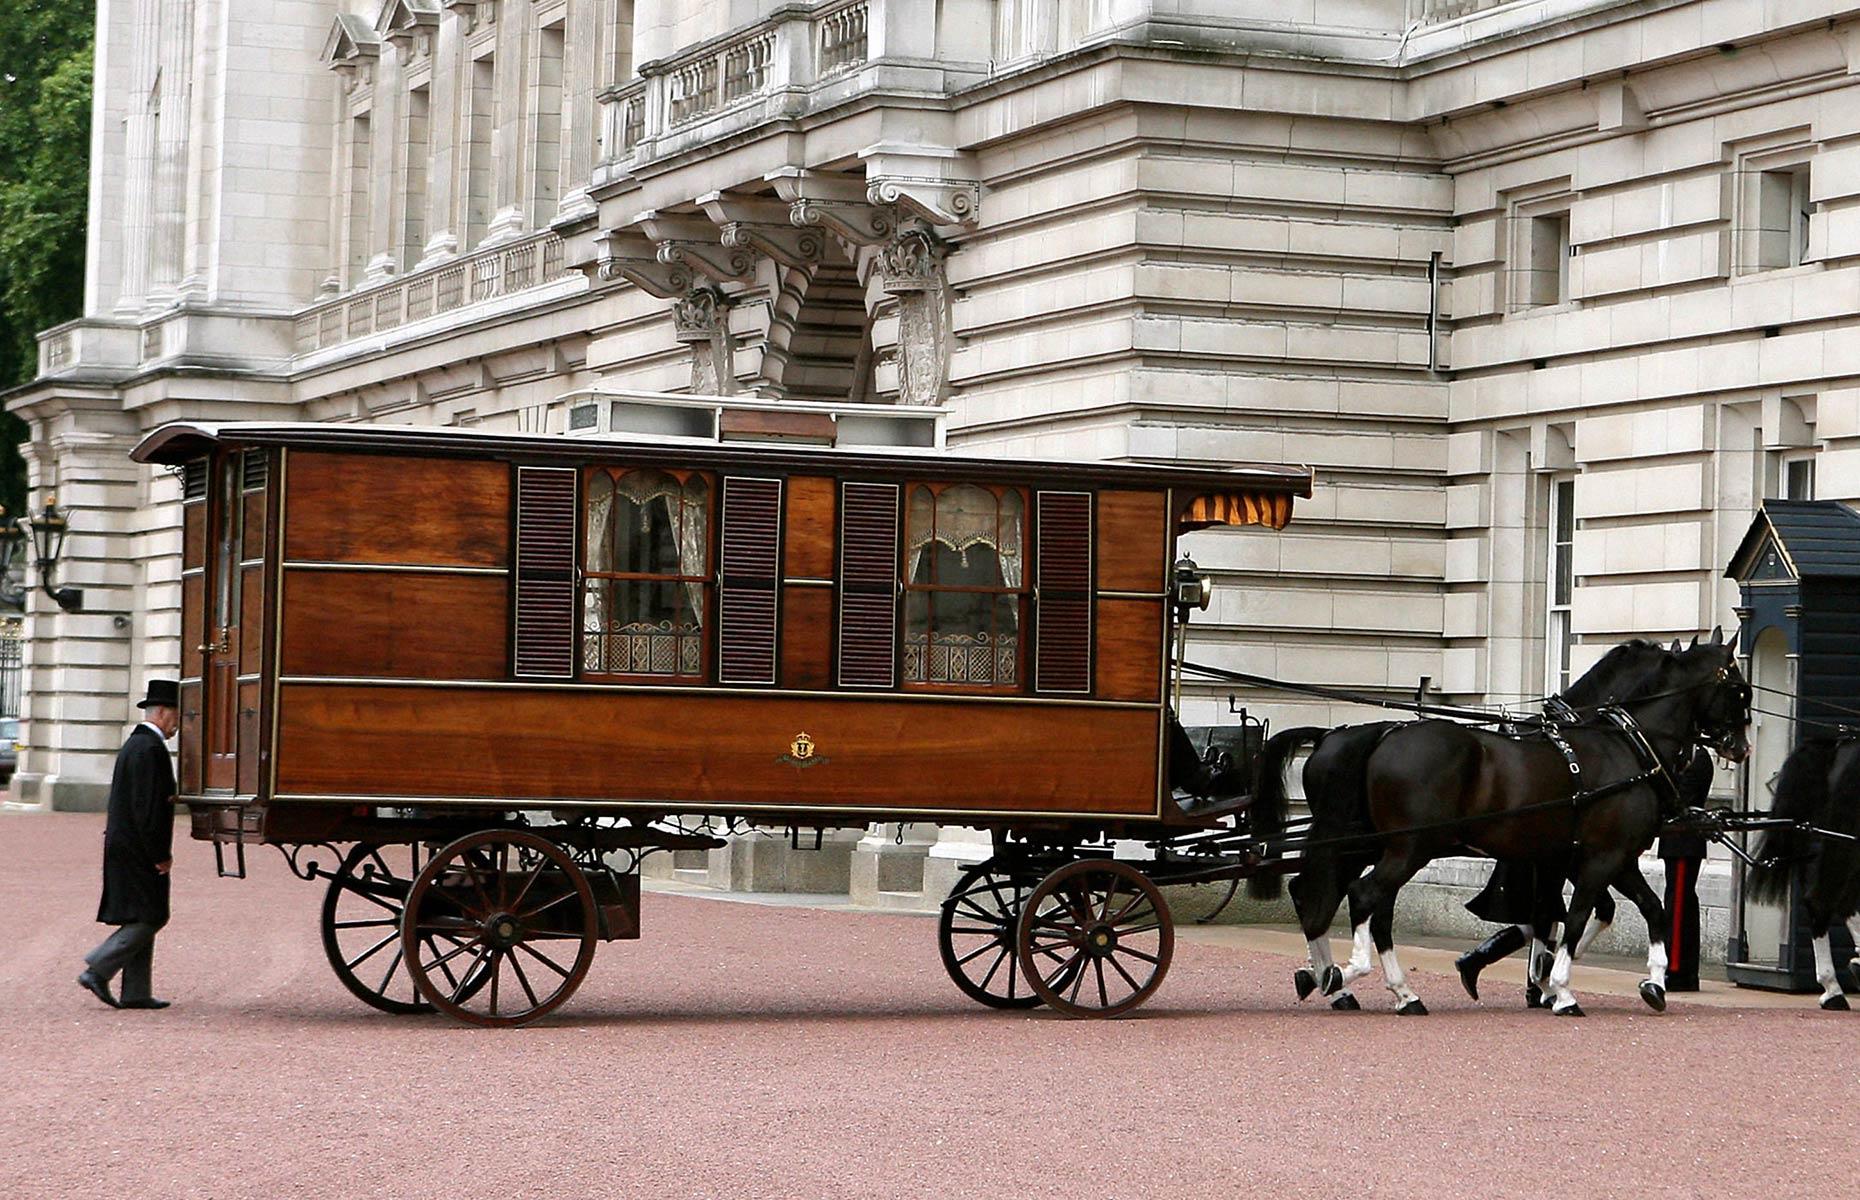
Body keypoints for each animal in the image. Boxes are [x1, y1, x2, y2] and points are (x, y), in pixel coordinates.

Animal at [1257, 636, 1748, 1012]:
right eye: (1740, 690)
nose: (1741, 747)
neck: (1626, 745)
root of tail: (1376, 735)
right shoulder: (1595, 859)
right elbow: (1574, 916)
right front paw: (1559, 988)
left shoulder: (1608, 858)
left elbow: (1645, 909)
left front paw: (1651, 983)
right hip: (1406, 847)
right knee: (1359, 897)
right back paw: (1352, 976)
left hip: (1375, 845)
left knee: (1336, 899)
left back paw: (1357, 983)